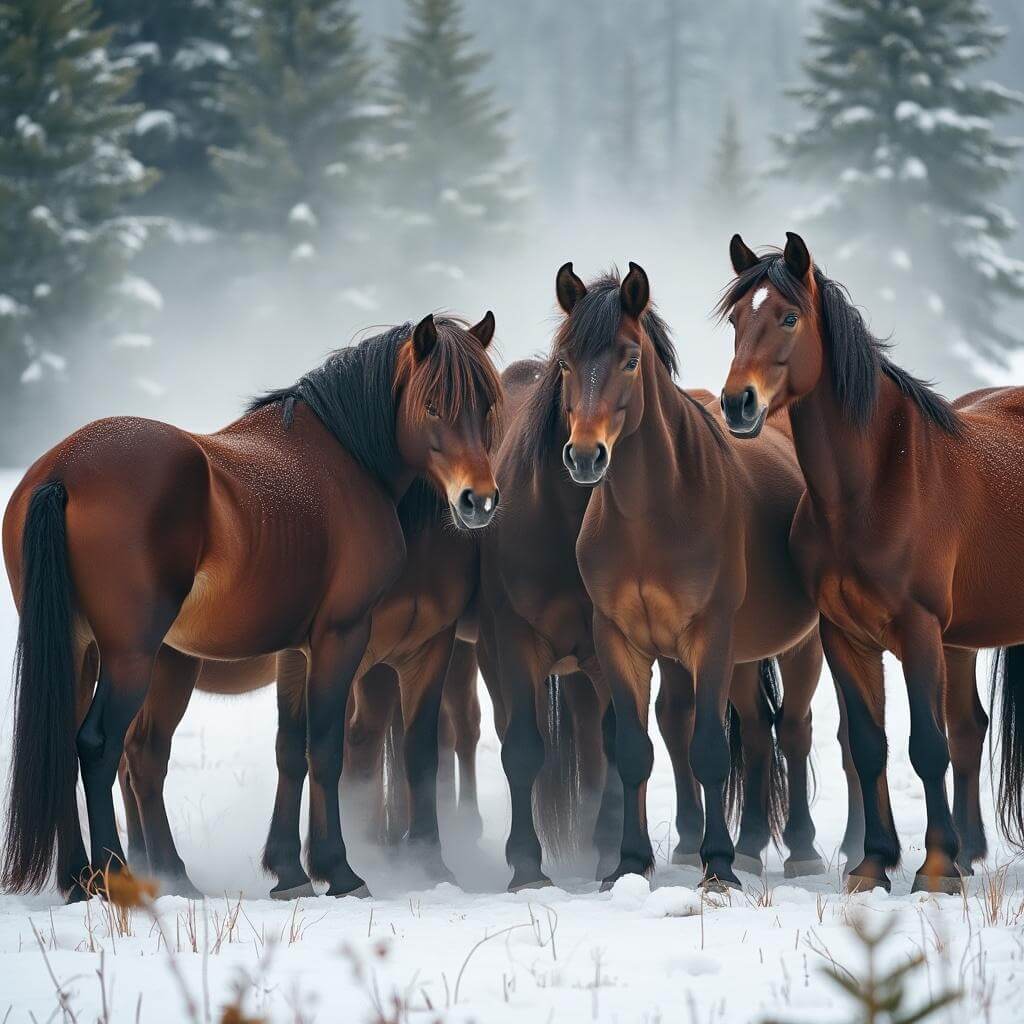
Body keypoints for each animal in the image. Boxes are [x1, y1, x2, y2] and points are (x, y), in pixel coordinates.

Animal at [2, 313, 501, 901]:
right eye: (432, 405)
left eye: (486, 404)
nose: (478, 500)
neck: (347, 459)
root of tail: (63, 472)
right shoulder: (340, 637)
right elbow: (324, 749)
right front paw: (340, 871)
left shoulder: (300, 652)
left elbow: (293, 749)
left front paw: (291, 872)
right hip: (131, 657)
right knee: (101, 748)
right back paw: (114, 873)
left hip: (80, 651)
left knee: (78, 747)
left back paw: (87, 879)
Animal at [480, 274, 825, 891]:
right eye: (564, 363)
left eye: (631, 359)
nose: (584, 455)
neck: (650, 516)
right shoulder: (603, 641)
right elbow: (625, 749)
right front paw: (620, 865)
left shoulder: (709, 636)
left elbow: (706, 748)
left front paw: (717, 867)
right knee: (753, 729)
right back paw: (749, 847)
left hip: (798, 644)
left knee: (792, 728)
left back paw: (797, 850)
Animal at [718, 232, 1024, 893]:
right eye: (735, 320)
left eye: (789, 317)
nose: (737, 404)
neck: (870, 489)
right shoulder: (845, 635)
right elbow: (868, 744)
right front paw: (874, 863)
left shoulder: (918, 630)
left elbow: (926, 746)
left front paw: (935, 870)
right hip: (962, 641)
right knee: (969, 729)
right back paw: (972, 850)